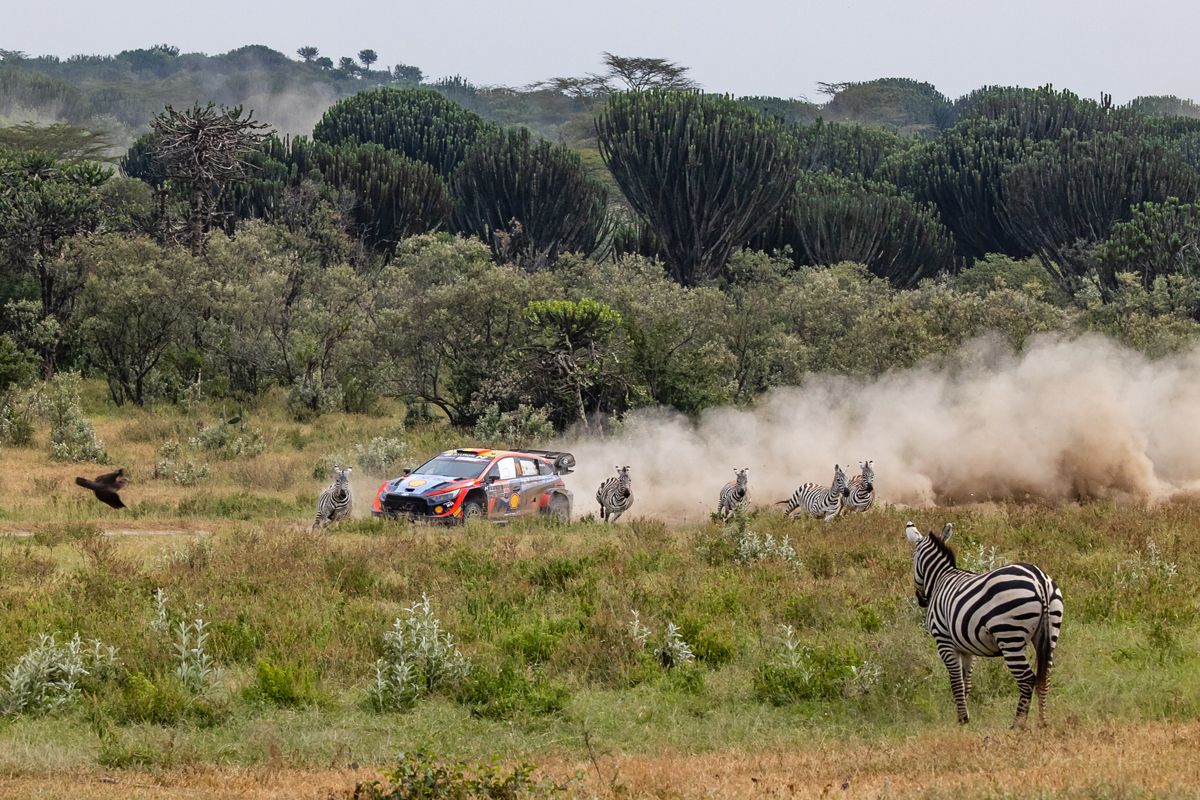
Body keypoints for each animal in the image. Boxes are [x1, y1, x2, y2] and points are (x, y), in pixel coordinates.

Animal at [902, 522, 1065, 729]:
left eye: (912, 561)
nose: (921, 600)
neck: (941, 578)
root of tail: (1040, 580)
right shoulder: (967, 648)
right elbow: (966, 682)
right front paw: (963, 716)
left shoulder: (943, 640)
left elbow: (956, 681)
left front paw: (963, 719)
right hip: (1050, 632)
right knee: (1045, 677)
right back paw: (1043, 722)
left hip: (1009, 636)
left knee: (1028, 679)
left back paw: (1018, 724)